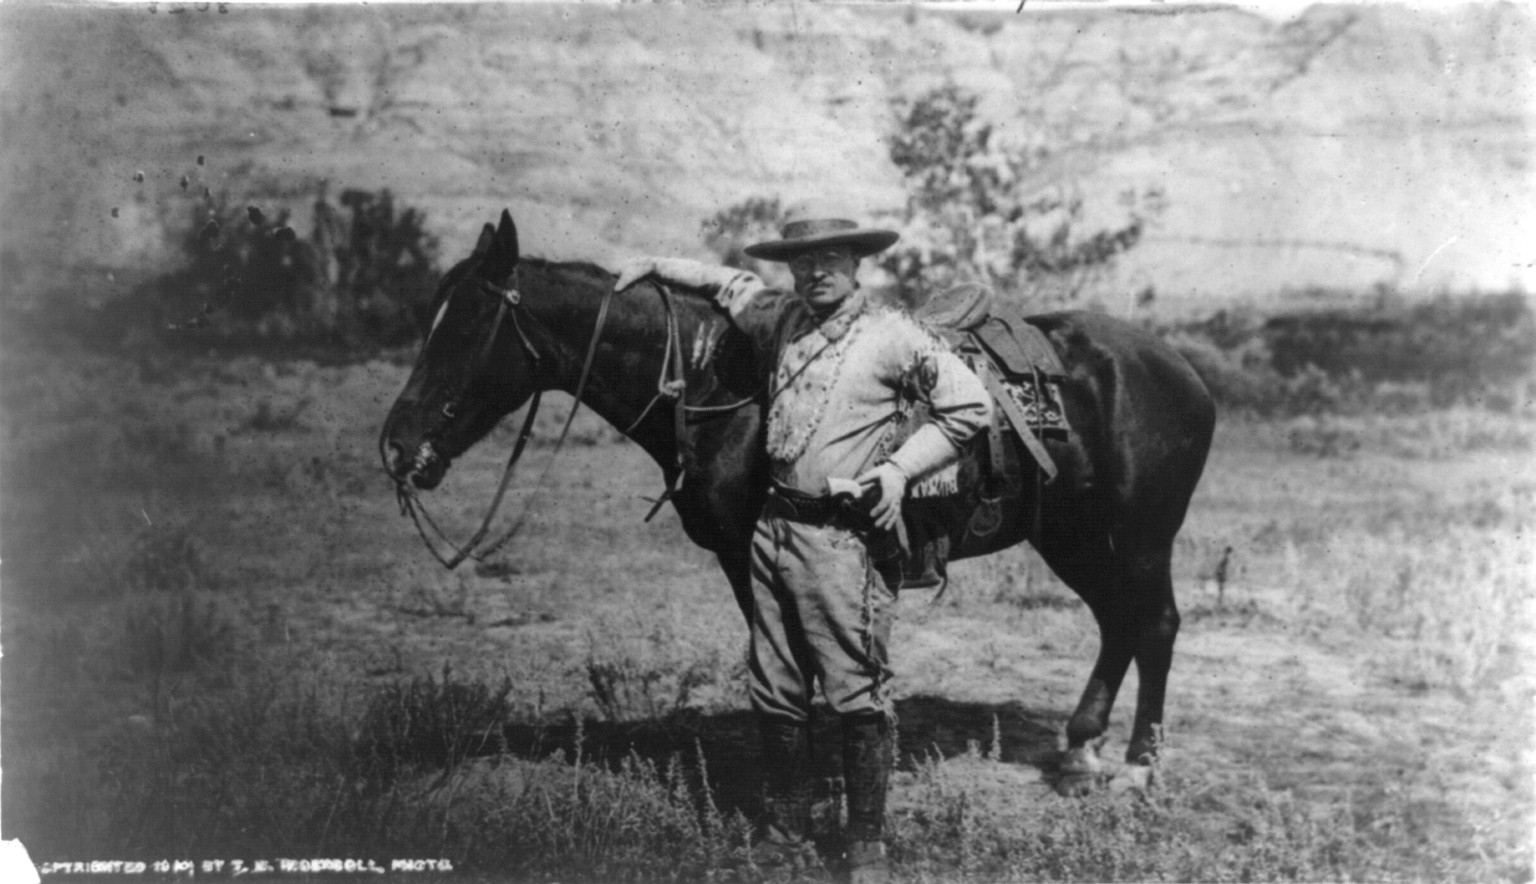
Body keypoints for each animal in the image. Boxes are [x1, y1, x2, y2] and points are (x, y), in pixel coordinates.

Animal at [380, 209, 1216, 785]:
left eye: (469, 324)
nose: (397, 444)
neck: (717, 383)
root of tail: (1182, 368)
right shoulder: (746, 557)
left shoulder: (759, 553)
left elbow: (807, 665)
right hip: (1075, 535)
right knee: (1117, 623)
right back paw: (1080, 749)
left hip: (1139, 537)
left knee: (1156, 624)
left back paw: (1138, 764)